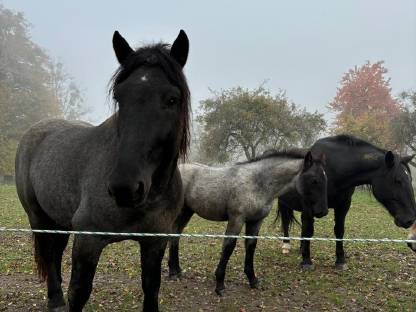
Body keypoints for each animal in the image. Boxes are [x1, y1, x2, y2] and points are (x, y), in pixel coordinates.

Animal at [15, 29, 191, 312]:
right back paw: (55, 299)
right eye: (119, 97)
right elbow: (79, 292)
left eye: (171, 99)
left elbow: (151, 289)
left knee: (55, 254)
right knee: (49, 256)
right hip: (38, 218)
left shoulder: (156, 241)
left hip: (59, 219)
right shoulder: (88, 240)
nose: (124, 187)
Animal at [168, 151, 328, 294]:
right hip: (181, 212)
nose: (323, 211)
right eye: (314, 180)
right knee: (173, 234)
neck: (257, 183)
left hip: (187, 212)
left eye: (324, 178)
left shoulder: (256, 221)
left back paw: (176, 271)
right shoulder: (237, 219)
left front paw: (253, 280)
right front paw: (220, 285)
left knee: (175, 235)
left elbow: (251, 247)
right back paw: (173, 272)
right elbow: (228, 247)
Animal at [276, 135, 416, 270]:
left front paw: (340, 261)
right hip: (283, 203)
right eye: (398, 180)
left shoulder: (343, 205)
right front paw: (306, 262)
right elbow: (309, 230)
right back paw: (286, 246)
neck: (333, 169)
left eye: (410, 179)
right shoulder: (308, 206)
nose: (410, 220)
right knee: (286, 222)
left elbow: (339, 231)